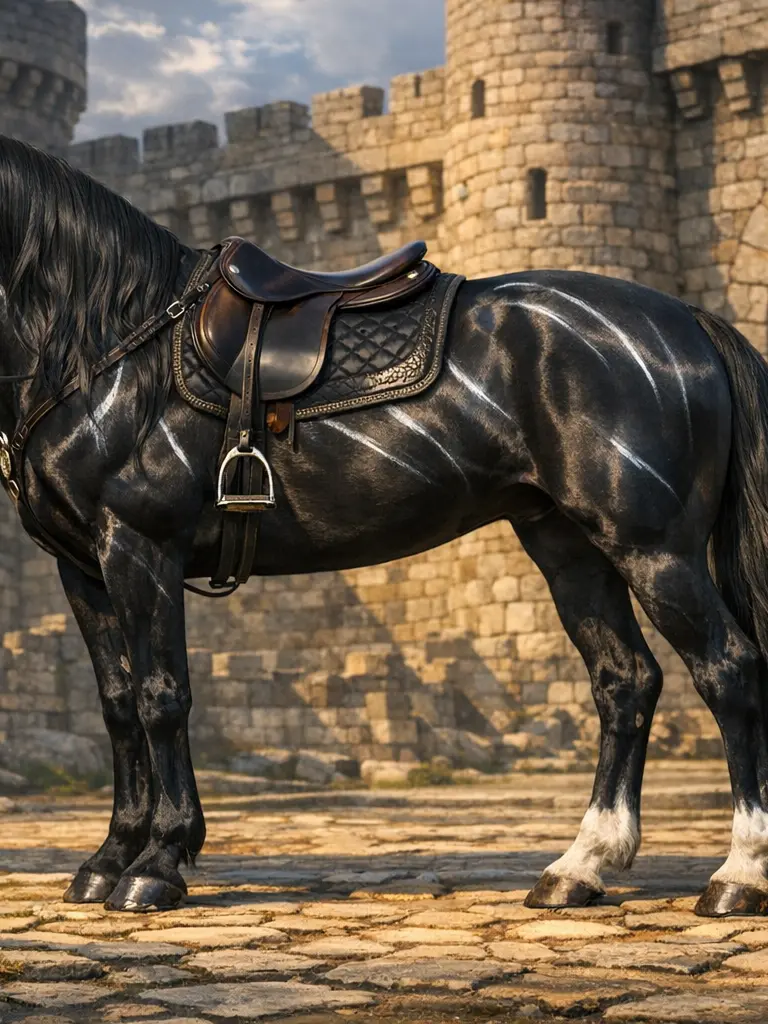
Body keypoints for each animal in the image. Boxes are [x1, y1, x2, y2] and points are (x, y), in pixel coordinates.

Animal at [0, 136, 765, 917]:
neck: (103, 344)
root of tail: (689, 321)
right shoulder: (83, 564)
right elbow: (118, 704)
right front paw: (106, 859)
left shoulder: (141, 545)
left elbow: (162, 697)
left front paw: (158, 862)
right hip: (571, 548)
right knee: (625, 681)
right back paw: (580, 866)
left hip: (653, 547)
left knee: (728, 669)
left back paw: (738, 874)